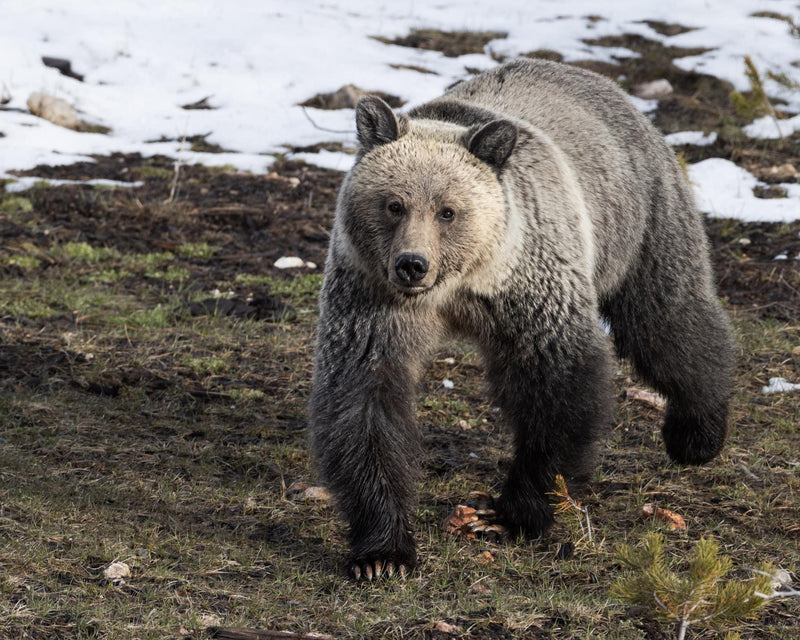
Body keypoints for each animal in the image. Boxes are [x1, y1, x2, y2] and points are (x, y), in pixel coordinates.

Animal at [308, 58, 732, 580]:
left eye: (447, 211)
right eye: (394, 204)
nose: (412, 264)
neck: (459, 287)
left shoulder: (529, 289)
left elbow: (558, 390)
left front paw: (509, 515)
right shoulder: (373, 301)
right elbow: (365, 403)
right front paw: (382, 553)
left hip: (641, 218)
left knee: (667, 321)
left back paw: (696, 434)